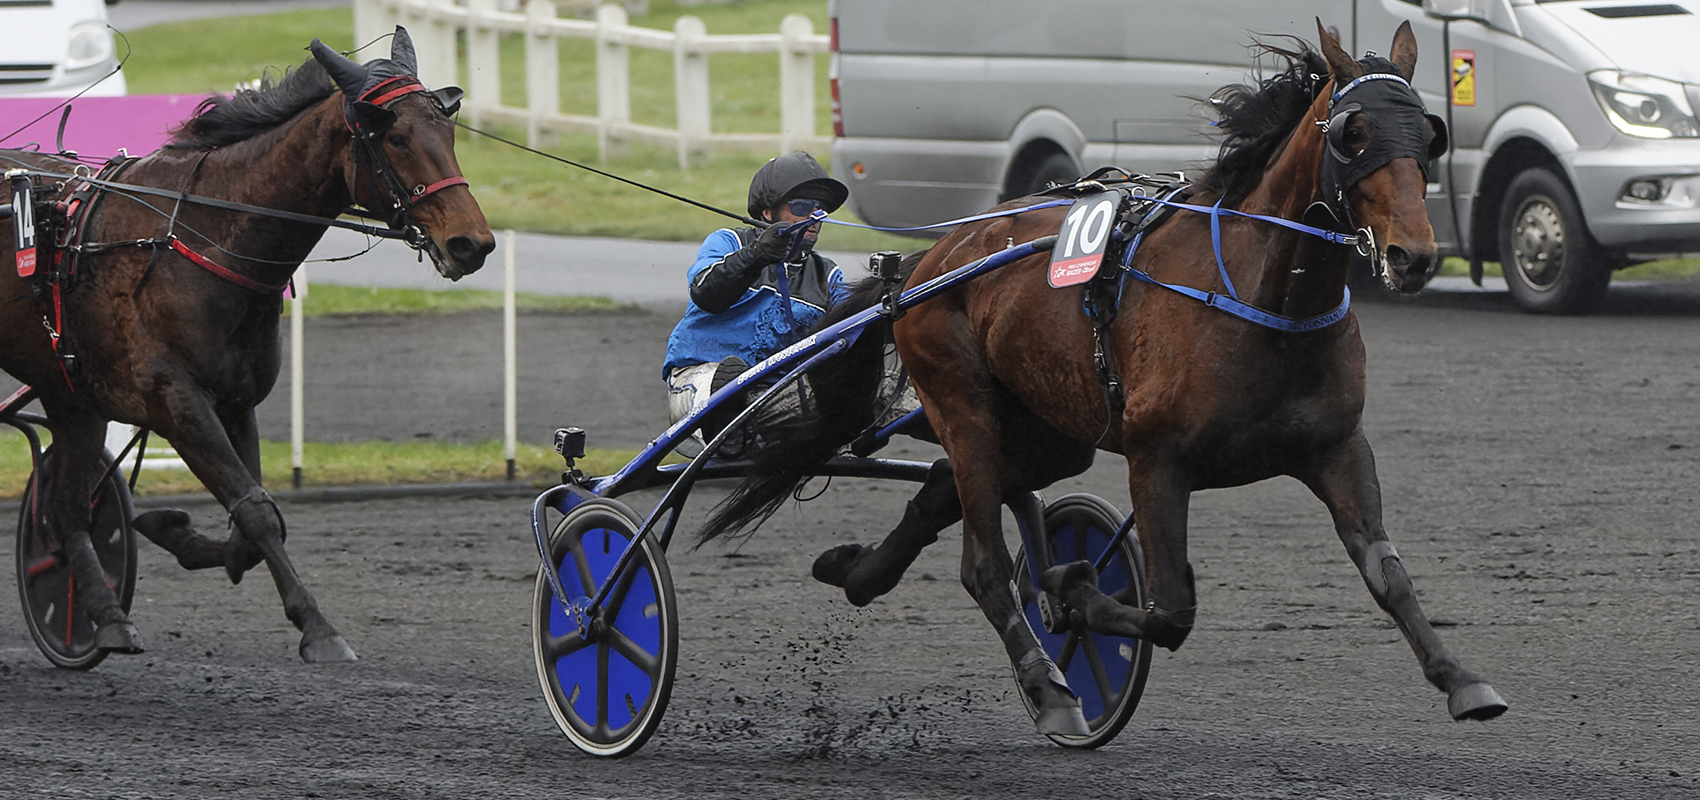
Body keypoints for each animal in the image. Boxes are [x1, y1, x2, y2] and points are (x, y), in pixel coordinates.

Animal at [0, 28, 493, 662]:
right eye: (398, 137)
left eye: (448, 133)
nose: (471, 243)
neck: (200, 235)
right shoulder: (175, 400)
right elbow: (256, 511)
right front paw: (320, 630)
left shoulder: (235, 400)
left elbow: (254, 519)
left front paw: (174, 532)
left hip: (70, 392)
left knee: (64, 509)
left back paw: (105, 616)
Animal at [697, 23, 1509, 740]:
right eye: (1353, 134)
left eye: (1429, 133)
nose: (1413, 255)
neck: (1261, 296)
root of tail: (930, 261)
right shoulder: (1159, 458)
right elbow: (1171, 610)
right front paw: (1074, 592)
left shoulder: (1337, 447)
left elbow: (1387, 573)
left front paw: (1463, 681)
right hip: (964, 404)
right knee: (984, 565)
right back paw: (1050, 688)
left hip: (1048, 429)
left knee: (941, 494)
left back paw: (858, 571)